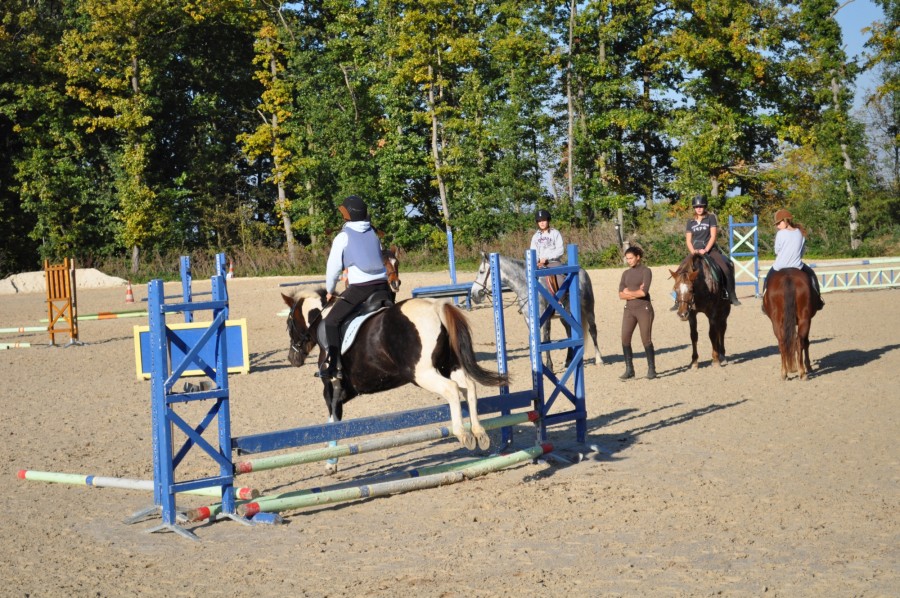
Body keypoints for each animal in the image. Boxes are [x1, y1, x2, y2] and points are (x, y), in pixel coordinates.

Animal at [281, 288, 507, 473]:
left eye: (289, 323)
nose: (292, 359)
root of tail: (435, 307)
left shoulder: (332, 390)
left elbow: (332, 422)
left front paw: (330, 463)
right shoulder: (347, 391)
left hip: (422, 374)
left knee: (451, 389)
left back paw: (463, 434)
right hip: (450, 366)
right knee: (469, 387)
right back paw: (479, 433)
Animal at [469, 252, 602, 370]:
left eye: (481, 272)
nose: (474, 294)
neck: (527, 287)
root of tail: (582, 271)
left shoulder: (546, 319)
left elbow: (546, 340)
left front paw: (549, 366)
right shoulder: (528, 319)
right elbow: (535, 341)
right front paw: (538, 365)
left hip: (588, 309)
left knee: (593, 330)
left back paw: (599, 359)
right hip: (566, 316)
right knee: (570, 333)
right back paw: (569, 361)